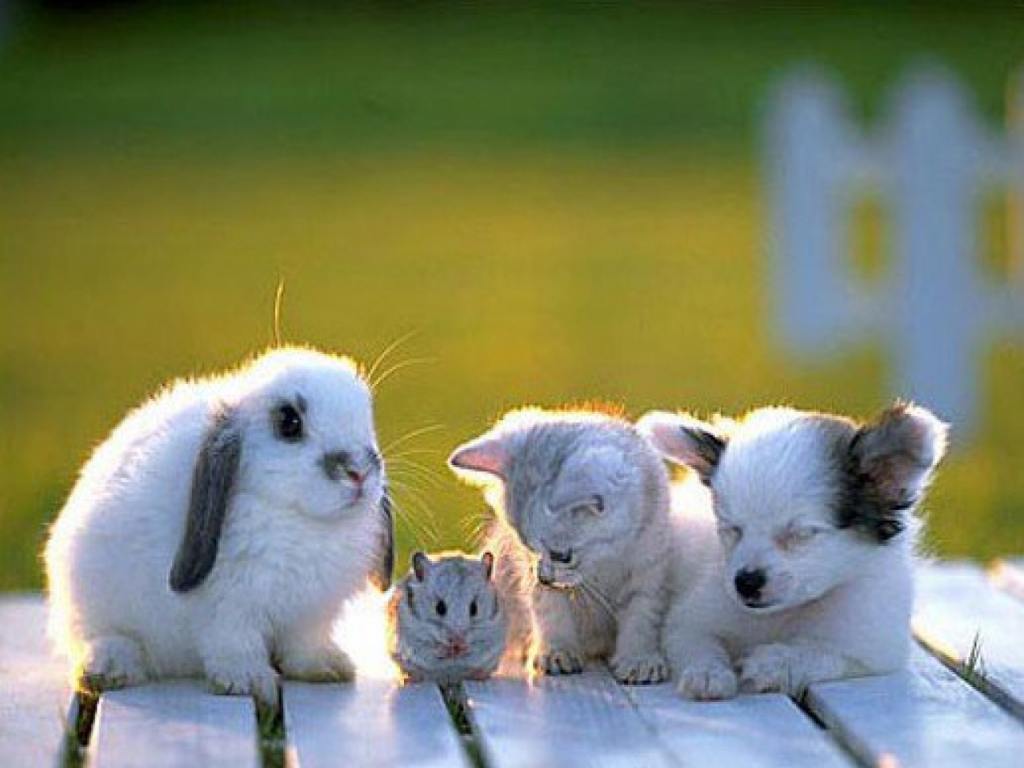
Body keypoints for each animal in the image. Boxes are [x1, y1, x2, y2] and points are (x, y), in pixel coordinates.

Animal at [45, 346, 394, 709]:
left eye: (367, 419)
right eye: (289, 423)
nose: (359, 472)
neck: (303, 520)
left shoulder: (310, 616)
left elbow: (304, 645)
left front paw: (327, 667)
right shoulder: (228, 609)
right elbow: (235, 644)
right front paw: (247, 680)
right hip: (91, 603)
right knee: (101, 638)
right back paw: (109, 668)